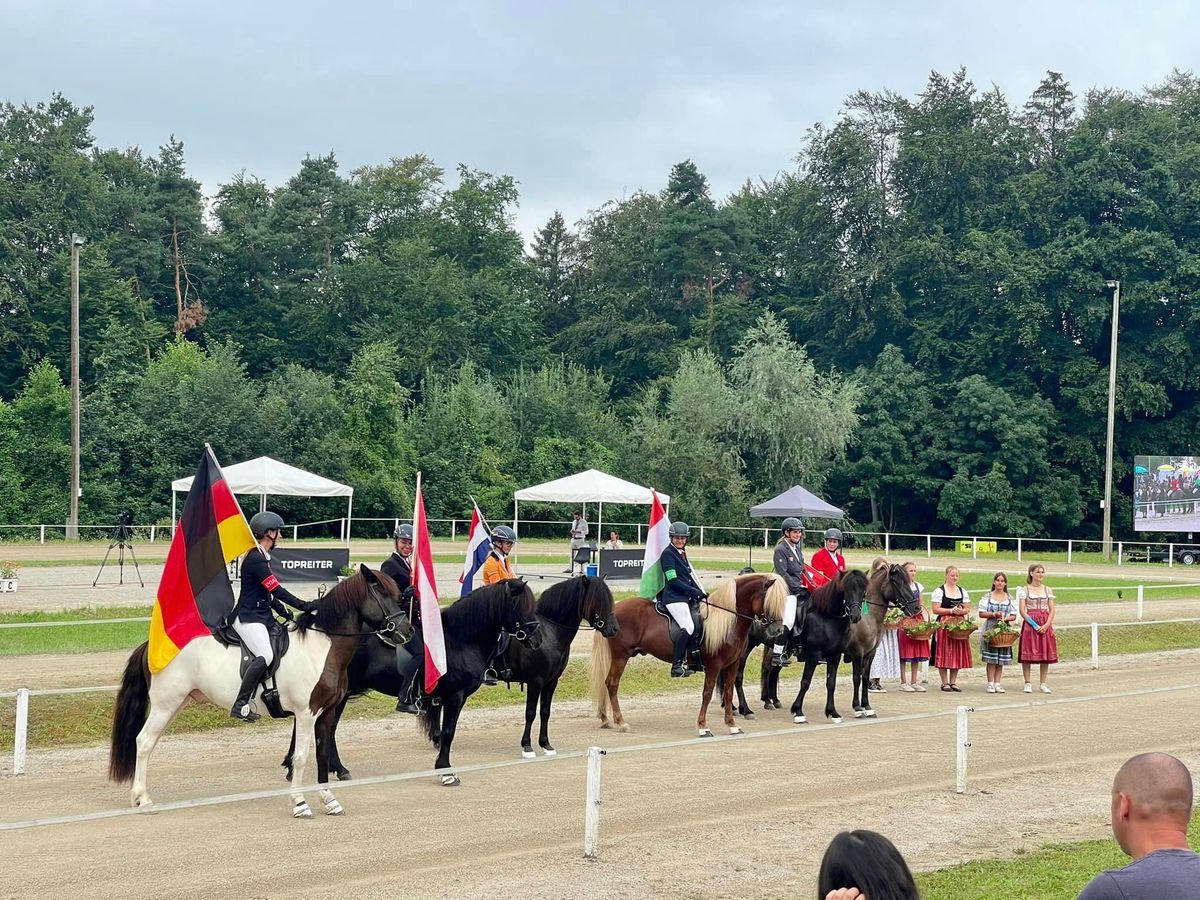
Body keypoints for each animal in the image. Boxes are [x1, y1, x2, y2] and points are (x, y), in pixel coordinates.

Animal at [283, 580, 537, 787]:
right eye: (521, 606)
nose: (537, 638)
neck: (458, 640)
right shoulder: (455, 696)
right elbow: (448, 732)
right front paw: (446, 771)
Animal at [504, 573, 624, 758]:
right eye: (597, 600)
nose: (614, 629)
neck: (548, 632)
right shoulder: (535, 681)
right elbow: (530, 713)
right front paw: (527, 746)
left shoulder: (551, 681)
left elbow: (545, 711)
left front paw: (546, 744)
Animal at [590, 578, 787, 739]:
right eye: (769, 601)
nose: (778, 630)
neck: (728, 620)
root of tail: (613, 612)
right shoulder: (714, 665)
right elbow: (707, 694)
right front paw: (703, 727)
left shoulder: (732, 664)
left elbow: (729, 692)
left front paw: (732, 725)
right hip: (620, 657)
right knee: (612, 684)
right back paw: (621, 722)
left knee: (606, 683)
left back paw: (605, 719)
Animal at [787, 573, 864, 729]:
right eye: (847, 589)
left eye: (863, 590)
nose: (855, 616)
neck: (826, 617)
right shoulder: (813, 655)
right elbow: (805, 682)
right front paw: (798, 712)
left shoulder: (834, 656)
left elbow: (831, 683)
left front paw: (833, 713)